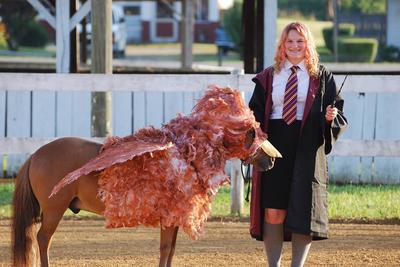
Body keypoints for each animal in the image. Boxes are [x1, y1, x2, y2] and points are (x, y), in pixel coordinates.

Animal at [10, 87, 280, 266]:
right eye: (255, 134)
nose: (272, 160)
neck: (187, 154)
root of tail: (35, 154)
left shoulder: (173, 220)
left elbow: (170, 250)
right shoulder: (169, 220)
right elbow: (164, 249)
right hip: (54, 210)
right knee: (43, 239)